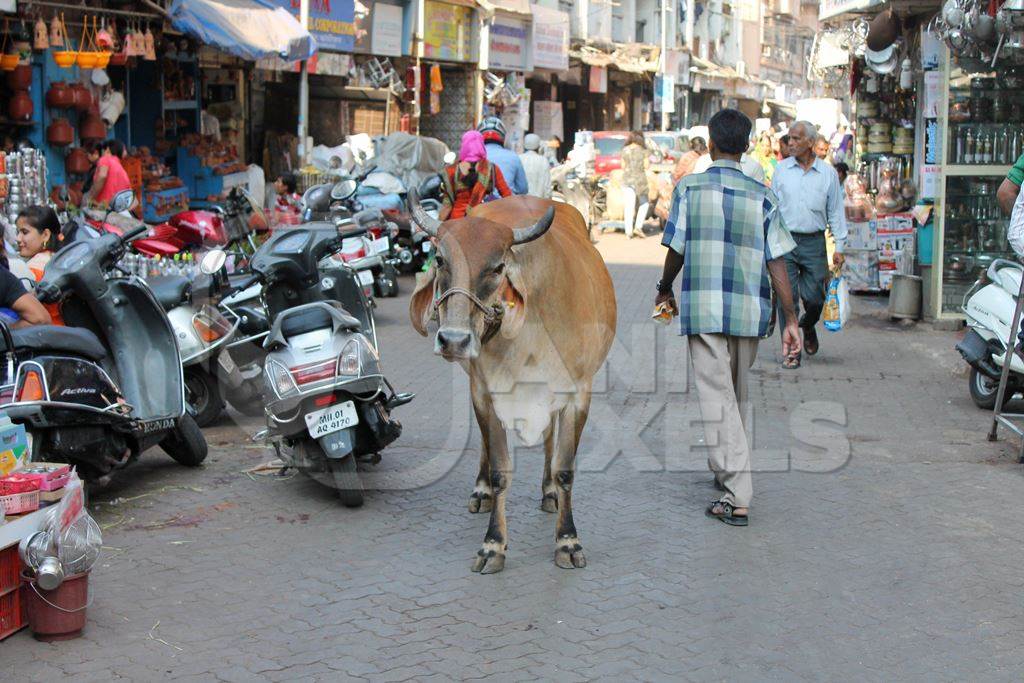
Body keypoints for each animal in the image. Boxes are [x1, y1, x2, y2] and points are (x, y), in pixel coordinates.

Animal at [407, 194, 614, 573]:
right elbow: (500, 470)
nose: (453, 340)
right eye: (440, 259)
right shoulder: (486, 395)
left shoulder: (577, 394)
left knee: (549, 441)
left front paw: (568, 540)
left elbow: (565, 469)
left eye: (498, 267)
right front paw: (493, 545)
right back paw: (482, 492)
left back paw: (549, 493)